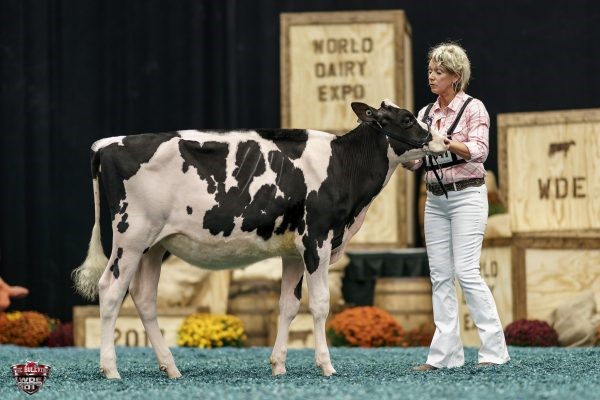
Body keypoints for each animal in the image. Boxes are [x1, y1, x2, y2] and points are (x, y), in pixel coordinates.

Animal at [72, 100, 446, 378]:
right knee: (111, 290)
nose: (442, 140)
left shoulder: (293, 251)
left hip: (154, 245)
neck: (342, 166)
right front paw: (326, 365)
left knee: (145, 298)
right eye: (408, 119)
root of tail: (108, 144)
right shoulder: (317, 239)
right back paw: (111, 369)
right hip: (131, 237)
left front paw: (278, 365)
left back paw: (171, 368)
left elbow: (288, 305)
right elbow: (320, 303)